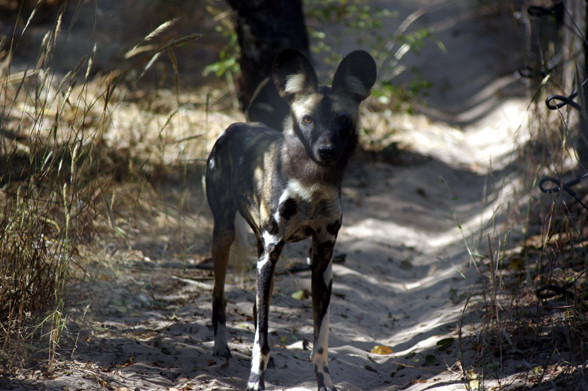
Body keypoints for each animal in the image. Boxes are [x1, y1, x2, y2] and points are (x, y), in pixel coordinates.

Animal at [204, 49, 374, 391]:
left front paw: (325, 383)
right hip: (226, 238)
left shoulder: (321, 262)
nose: (326, 150)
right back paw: (221, 346)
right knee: (220, 297)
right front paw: (255, 382)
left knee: (259, 309)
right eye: (307, 120)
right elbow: (262, 341)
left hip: (263, 252)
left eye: (343, 120)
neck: (312, 186)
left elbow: (320, 341)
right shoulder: (271, 254)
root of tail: (231, 127)